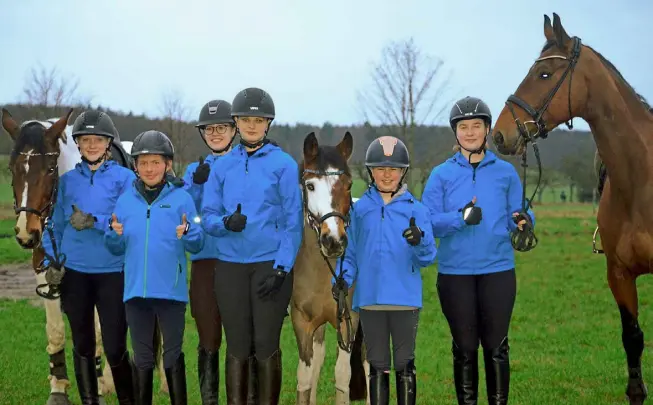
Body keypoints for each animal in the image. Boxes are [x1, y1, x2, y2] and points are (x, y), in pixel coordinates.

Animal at [292, 131, 370, 402]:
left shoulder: (349, 321)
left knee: (368, 363)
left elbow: (342, 378)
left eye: (348, 184)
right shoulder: (302, 322)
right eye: (310, 185)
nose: (334, 241)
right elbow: (306, 377)